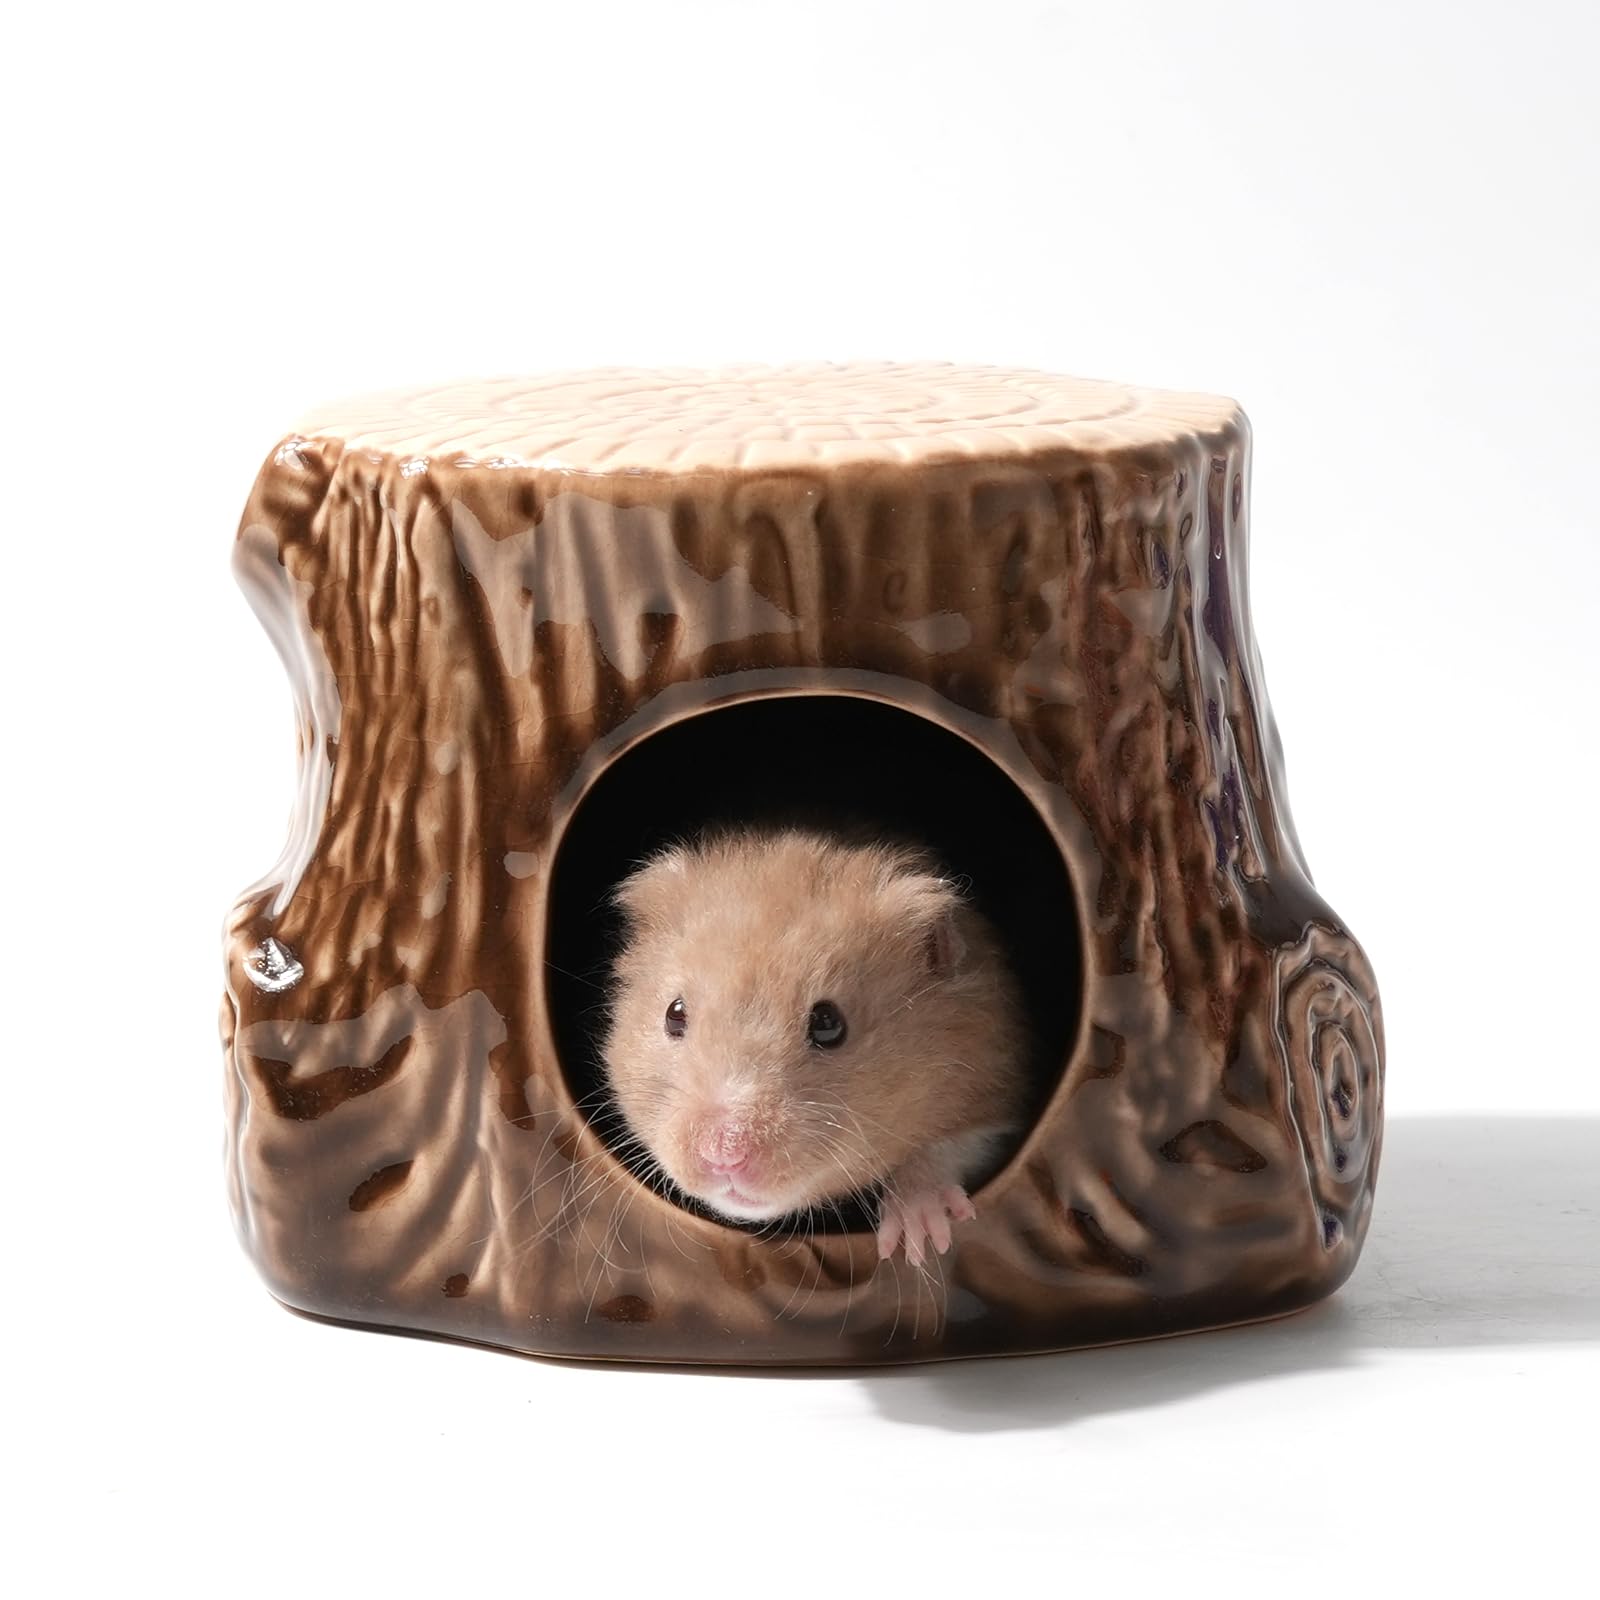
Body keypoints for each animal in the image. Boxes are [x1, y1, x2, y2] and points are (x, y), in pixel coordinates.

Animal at [598, 825, 1028, 1266]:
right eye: (674, 1014)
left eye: (827, 1025)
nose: (724, 1154)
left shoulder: (995, 1083)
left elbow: (950, 1146)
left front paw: (919, 1242)